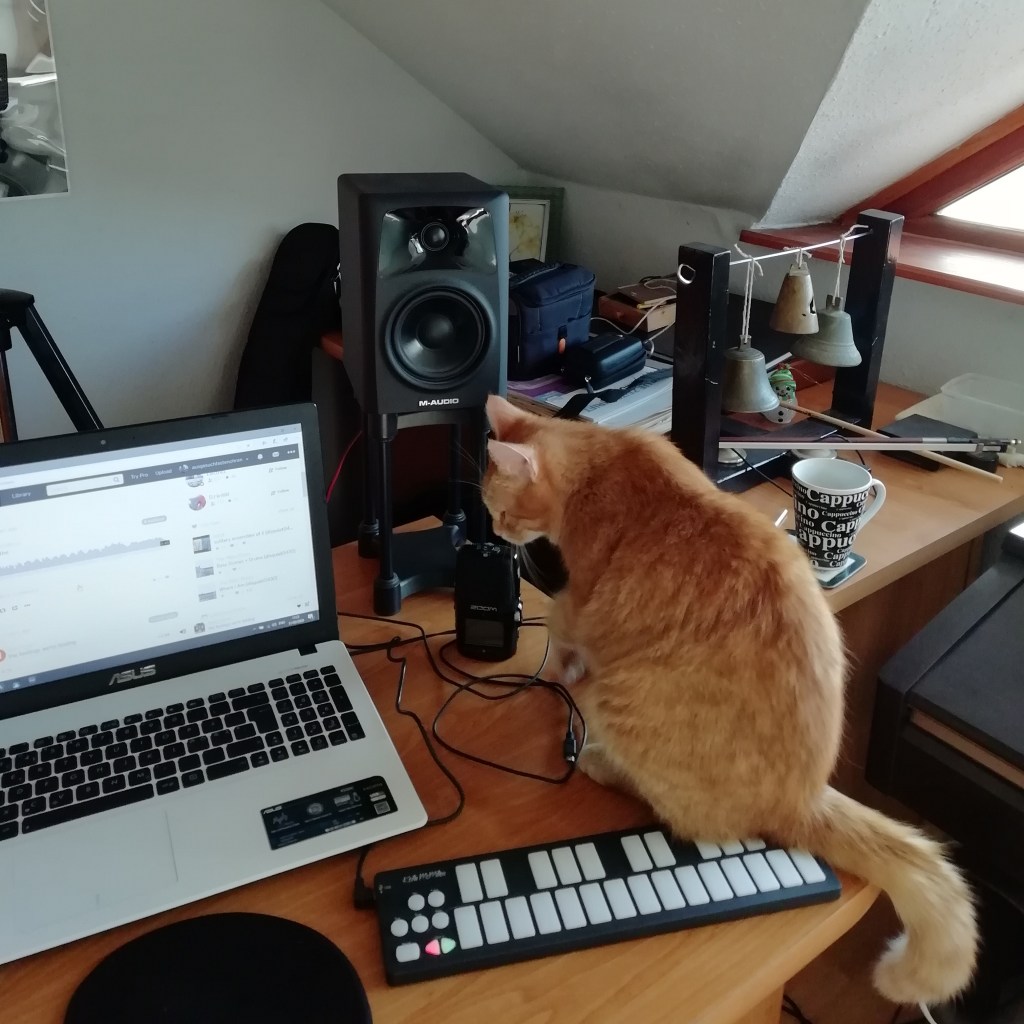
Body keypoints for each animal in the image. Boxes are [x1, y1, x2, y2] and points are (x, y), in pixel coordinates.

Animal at [481, 393, 977, 1008]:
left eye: (502, 510)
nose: (495, 530)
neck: (601, 459)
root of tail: (802, 801)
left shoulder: (578, 602)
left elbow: (562, 632)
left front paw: (560, 666)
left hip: (618, 703)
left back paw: (599, 759)